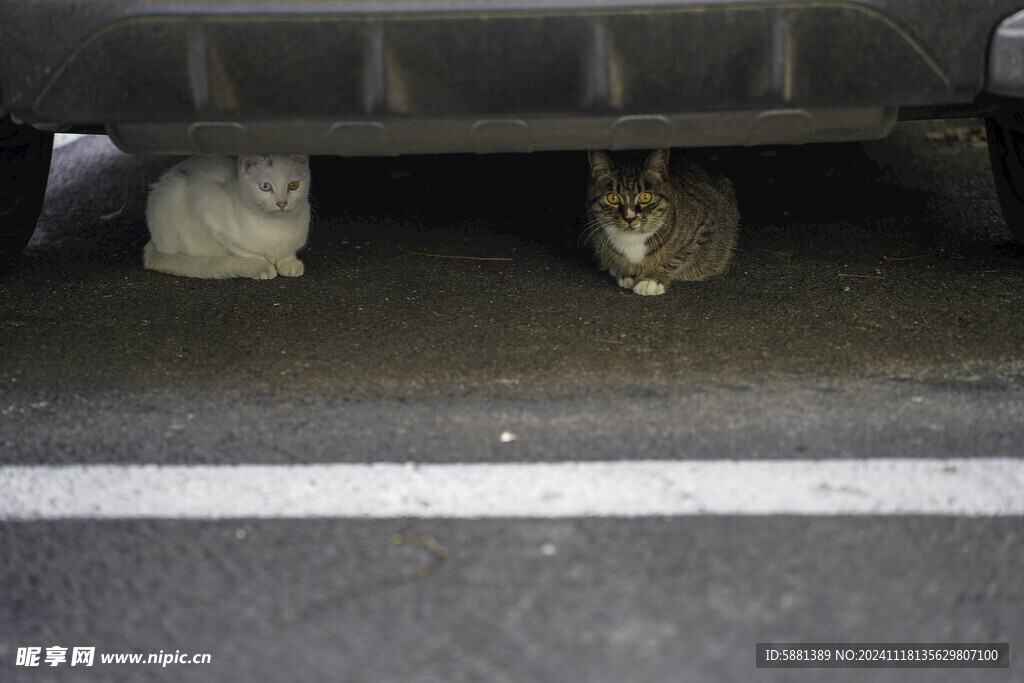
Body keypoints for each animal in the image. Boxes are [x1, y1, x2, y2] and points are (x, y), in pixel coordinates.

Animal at [144, 156, 309, 278]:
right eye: (265, 186)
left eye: (293, 185)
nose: (282, 203)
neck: (277, 226)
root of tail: (153, 241)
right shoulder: (209, 215)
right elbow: (249, 252)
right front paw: (261, 266)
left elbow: (288, 252)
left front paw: (288, 263)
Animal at [585, 149, 737, 294]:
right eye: (613, 198)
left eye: (645, 197)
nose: (629, 218)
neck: (633, 238)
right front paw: (626, 271)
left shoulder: (703, 228)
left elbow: (676, 256)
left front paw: (651, 279)